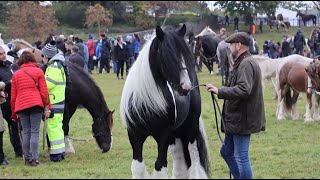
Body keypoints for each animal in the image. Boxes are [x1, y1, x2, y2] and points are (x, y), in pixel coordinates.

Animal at [120, 24, 210, 179]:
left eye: (185, 55)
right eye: (168, 56)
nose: (186, 86)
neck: (145, 101)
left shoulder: (163, 137)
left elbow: (159, 167)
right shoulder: (134, 135)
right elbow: (137, 167)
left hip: (190, 127)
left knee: (194, 157)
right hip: (176, 134)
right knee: (179, 159)